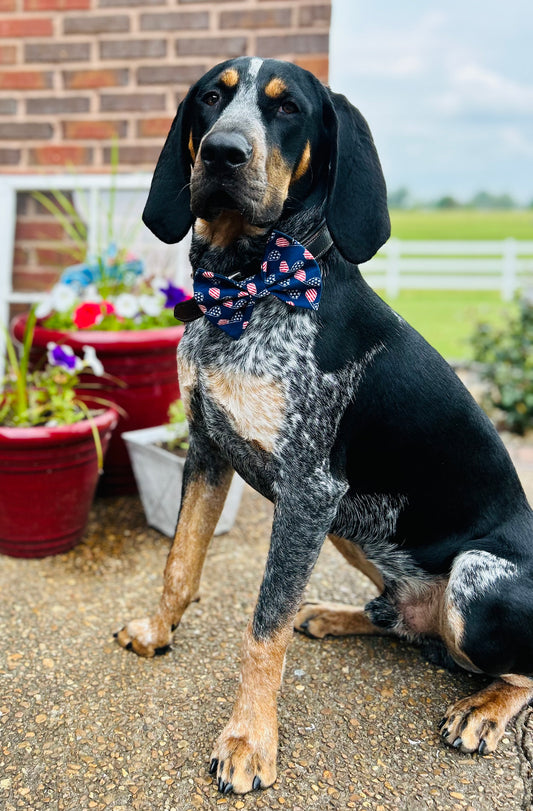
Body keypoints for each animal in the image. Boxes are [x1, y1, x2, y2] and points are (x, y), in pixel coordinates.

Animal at [116, 58, 532, 800]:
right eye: (211, 98)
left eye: (288, 110)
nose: (222, 152)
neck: (249, 288)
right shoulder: (208, 450)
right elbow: (179, 565)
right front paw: (157, 630)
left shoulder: (309, 490)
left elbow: (264, 626)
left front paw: (249, 740)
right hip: (353, 526)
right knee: (399, 617)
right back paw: (337, 615)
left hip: (471, 579)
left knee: (517, 667)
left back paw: (482, 709)